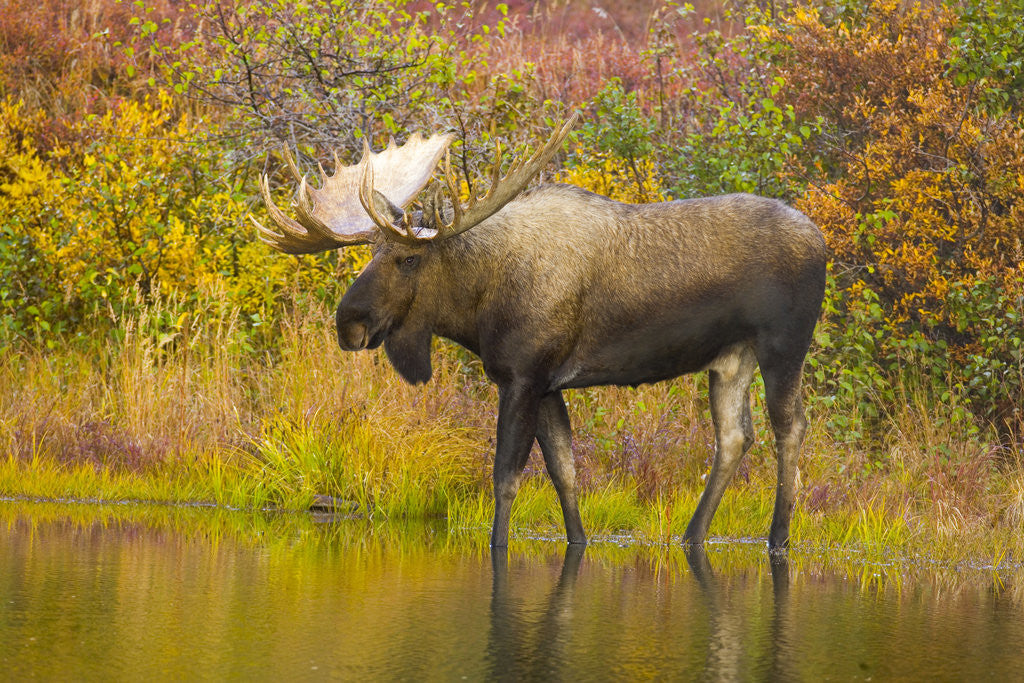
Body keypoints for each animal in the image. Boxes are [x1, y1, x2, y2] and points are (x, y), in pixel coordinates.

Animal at [253, 115, 827, 550]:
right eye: (371, 252)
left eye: (409, 258)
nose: (348, 323)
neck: (478, 307)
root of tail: (823, 242)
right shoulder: (550, 385)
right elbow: (565, 472)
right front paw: (578, 540)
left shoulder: (522, 376)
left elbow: (506, 478)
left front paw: (498, 546)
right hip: (729, 359)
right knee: (734, 436)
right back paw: (692, 535)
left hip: (784, 346)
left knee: (790, 427)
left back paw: (778, 538)